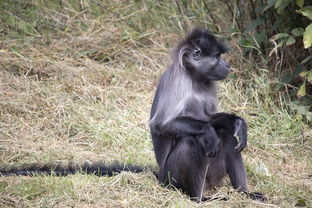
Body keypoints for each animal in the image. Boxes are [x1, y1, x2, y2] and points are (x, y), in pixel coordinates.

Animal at [150, 28, 264, 202]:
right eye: (217, 57)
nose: (227, 65)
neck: (194, 79)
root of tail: (160, 175)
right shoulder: (179, 81)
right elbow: (161, 124)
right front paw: (208, 133)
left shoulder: (208, 83)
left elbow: (209, 118)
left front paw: (237, 122)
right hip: (169, 178)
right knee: (188, 141)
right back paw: (199, 198)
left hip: (212, 174)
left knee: (226, 134)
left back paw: (244, 193)